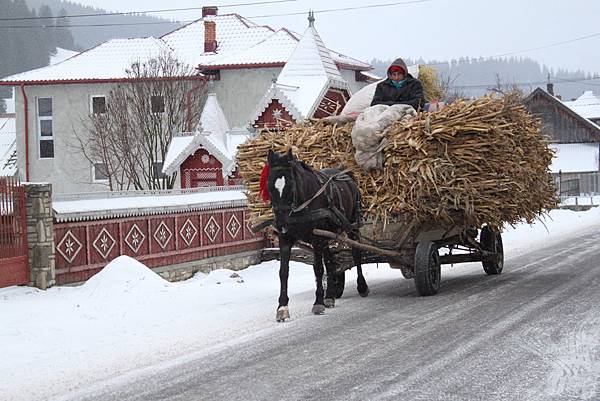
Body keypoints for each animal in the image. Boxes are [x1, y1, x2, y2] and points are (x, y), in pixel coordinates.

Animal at [262, 148, 370, 320]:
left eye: (291, 186)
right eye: (270, 186)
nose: (281, 223)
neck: (300, 207)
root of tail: (345, 173)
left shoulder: (316, 238)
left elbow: (318, 268)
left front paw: (318, 302)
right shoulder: (285, 239)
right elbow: (283, 272)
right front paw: (282, 307)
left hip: (352, 226)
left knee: (356, 253)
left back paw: (362, 286)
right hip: (327, 235)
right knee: (330, 261)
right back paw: (330, 295)